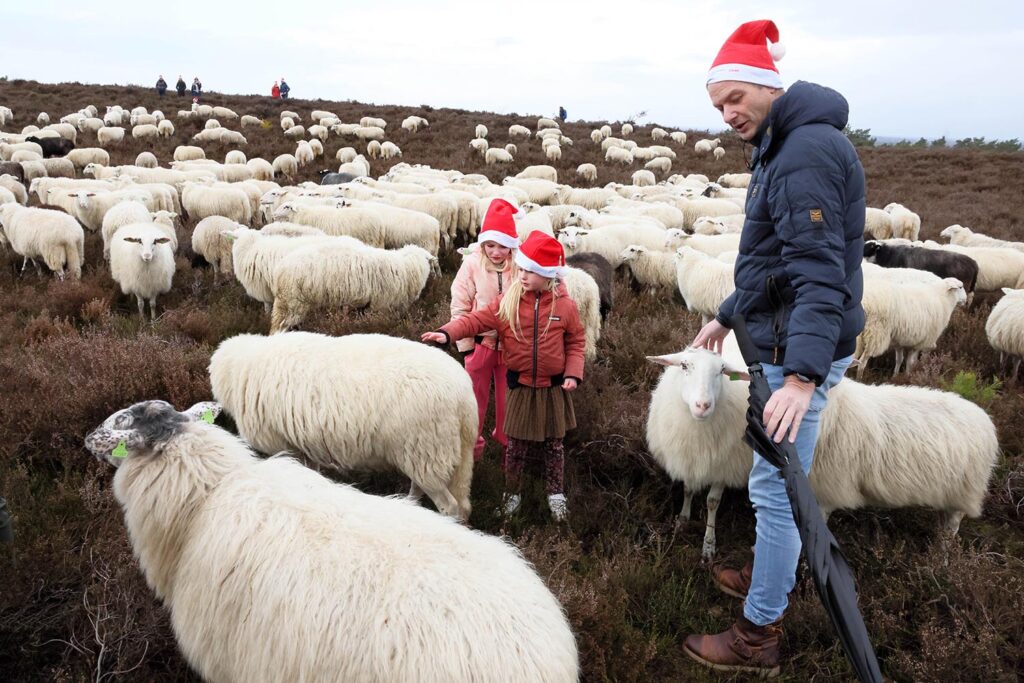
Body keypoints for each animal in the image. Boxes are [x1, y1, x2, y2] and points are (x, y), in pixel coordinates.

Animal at [647, 344, 999, 557]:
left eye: (721, 371)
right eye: (684, 366)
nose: (702, 405)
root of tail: (986, 420)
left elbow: (713, 501)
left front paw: (709, 546)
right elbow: (689, 490)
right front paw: (682, 520)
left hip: (963, 495)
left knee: (952, 527)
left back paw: (943, 557)